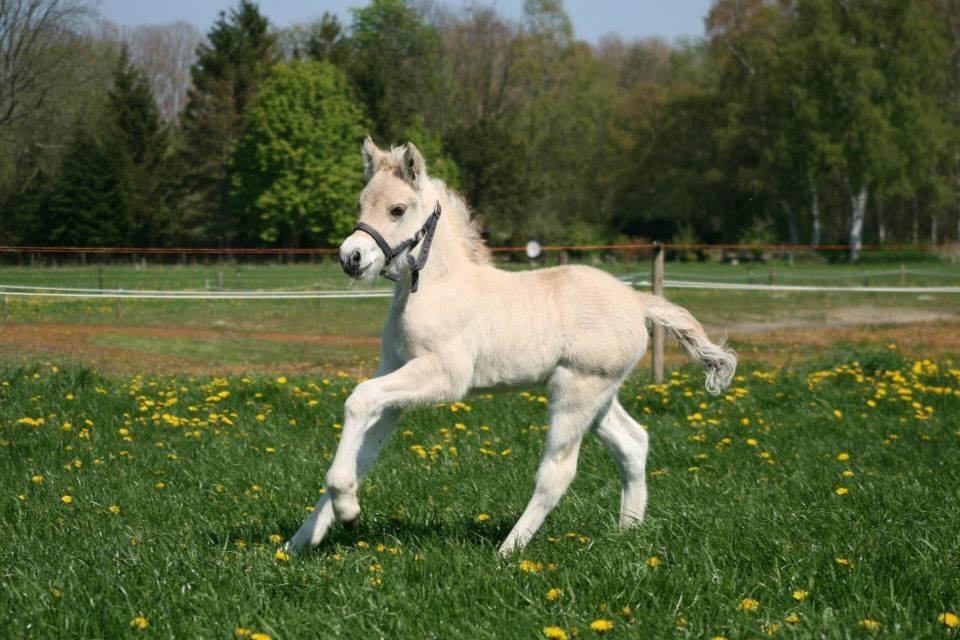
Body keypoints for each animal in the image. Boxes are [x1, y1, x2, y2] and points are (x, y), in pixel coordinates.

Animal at [284, 139, 736, 556]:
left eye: (397, 209)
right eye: (360, 204)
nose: (351, 257)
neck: (437, 287)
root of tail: (638, 301)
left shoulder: (444, 376)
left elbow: (358, 400)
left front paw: (348, 511)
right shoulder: (395, 375)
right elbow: (364, 452)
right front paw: (299, 541)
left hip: (577, 391)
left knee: (559, 471)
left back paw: (509, 550)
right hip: (600, 394)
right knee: (633, 443)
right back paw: (627, 533)